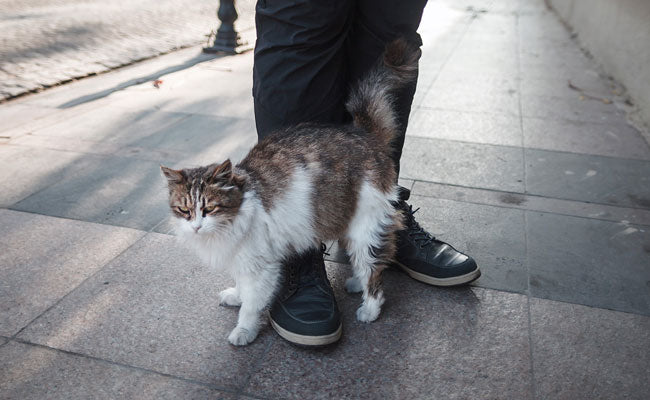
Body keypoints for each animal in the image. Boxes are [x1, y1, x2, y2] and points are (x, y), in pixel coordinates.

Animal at [159, 38, 418, 344]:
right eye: (184, 210)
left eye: (209, 208)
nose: (197, 227)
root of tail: (363, 133)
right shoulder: (241, 260)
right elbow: (241, 286)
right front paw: (236, 295)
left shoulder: (261, 267)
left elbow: (251, 304)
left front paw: (243, 330)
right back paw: (355, 281)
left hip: (366, 224)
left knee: (374, 268)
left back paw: (369, 308)